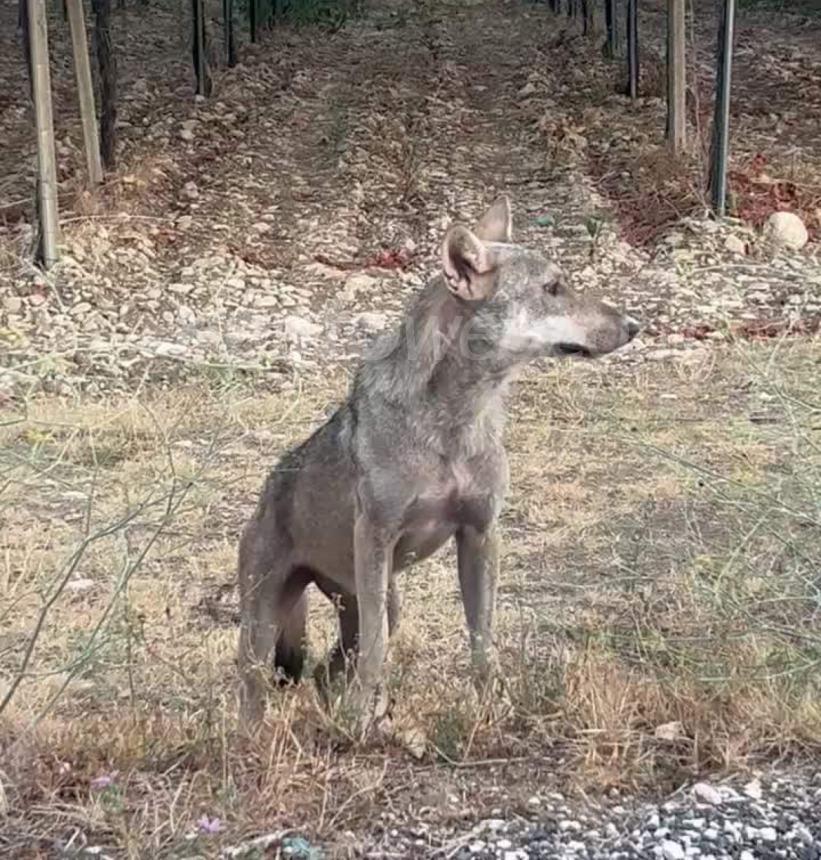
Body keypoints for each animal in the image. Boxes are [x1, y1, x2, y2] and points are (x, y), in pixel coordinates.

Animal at [234, 195, 636, 732]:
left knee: (329, 669)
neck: (455, 424)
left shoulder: (481, 534)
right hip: (270, 626)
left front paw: (492, 710)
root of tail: (269, 487)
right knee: (260, 686)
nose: (635, 326)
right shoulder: (376, 538)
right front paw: (361, 722)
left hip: (375, 601)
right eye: (553, 288)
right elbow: (378, 654)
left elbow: (482, 643)